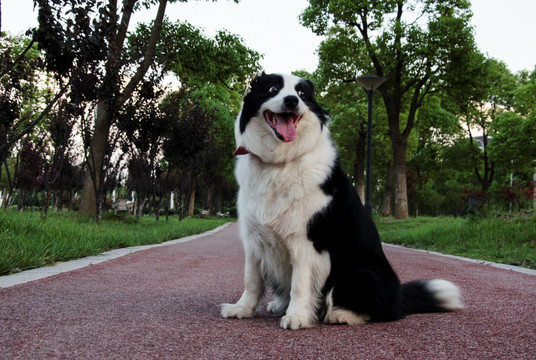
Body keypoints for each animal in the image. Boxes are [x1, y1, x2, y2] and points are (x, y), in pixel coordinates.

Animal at [220, 72, 462, 330]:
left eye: (302, 94)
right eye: (273, 88)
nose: (292, 101)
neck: (279, 162)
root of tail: (398, 298)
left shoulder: (306, 240)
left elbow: (299, 284)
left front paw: (297, 317)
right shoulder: (254, 238)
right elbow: (251, 279)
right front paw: (242, 309)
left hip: (360, 270)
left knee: (381, 311)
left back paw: (341, 314)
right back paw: (279, 305)